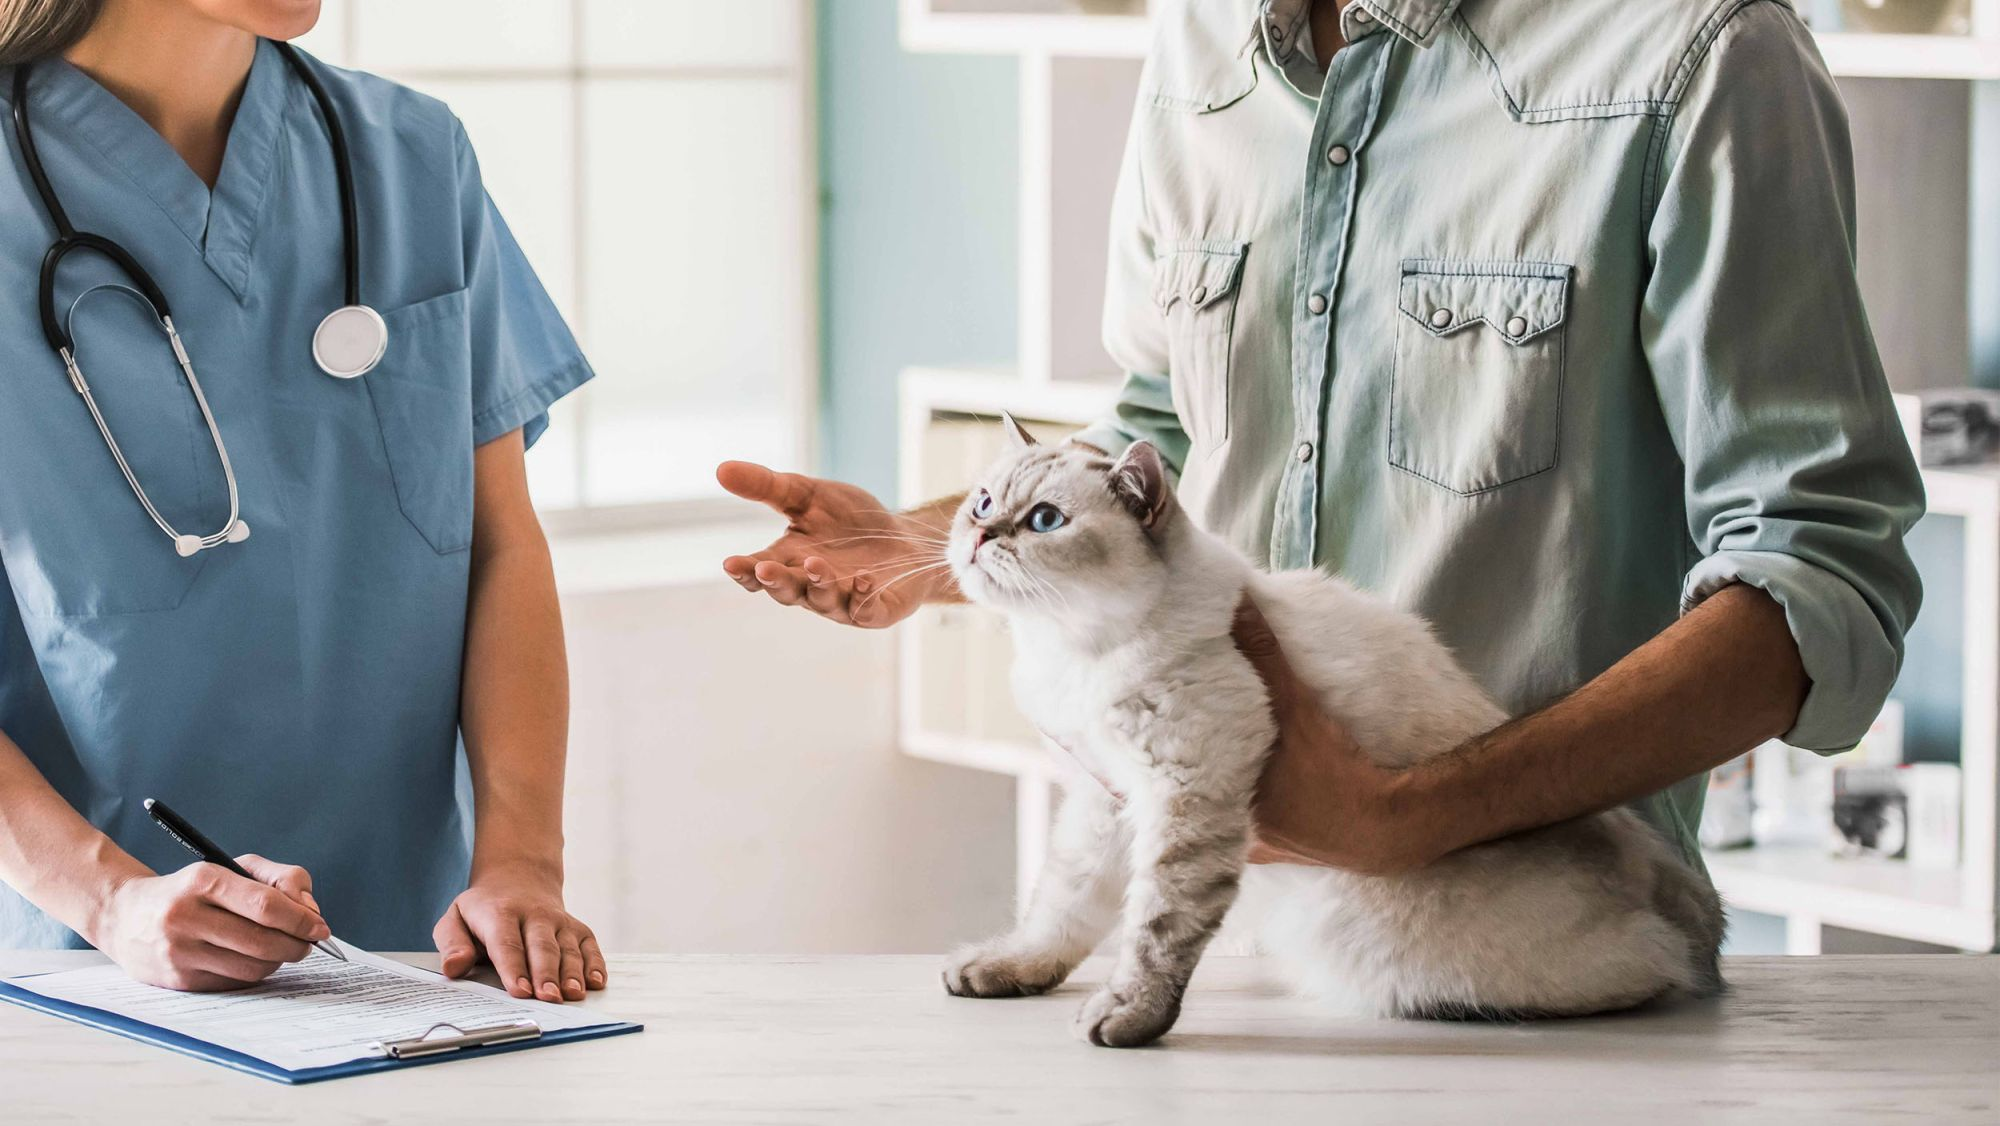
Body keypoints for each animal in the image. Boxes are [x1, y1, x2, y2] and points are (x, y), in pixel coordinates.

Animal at [944, 420, 1728, 1048]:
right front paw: (1007, 969)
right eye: (982, 503)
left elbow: (1156, 928)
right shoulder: (1105, 799)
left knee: (1661, 971)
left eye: (1045, 520)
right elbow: (1063, 905)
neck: (1069, 650)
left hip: (1372, 942)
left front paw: (1127, 1018)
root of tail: (1661, 880)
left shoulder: (1185, 795)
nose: (980, 535)